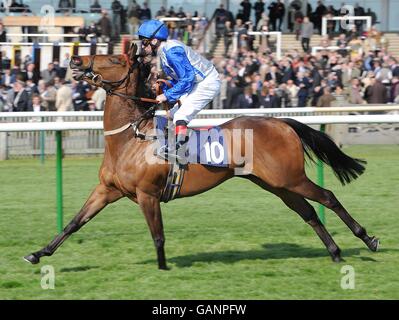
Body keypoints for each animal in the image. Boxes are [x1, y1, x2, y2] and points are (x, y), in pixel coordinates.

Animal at [23, 43, 380, 268]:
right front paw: (38, 253)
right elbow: (74, 223)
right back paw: (335, 252)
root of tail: (280, 121)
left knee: (328, 197)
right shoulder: (107, 190)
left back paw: (367, 239)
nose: (75, 60)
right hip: (277, 184)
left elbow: (158, 235)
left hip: (290, 177)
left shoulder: (147, 194)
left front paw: (163, 267)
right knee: (308, 212)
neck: (129, 138)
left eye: (113, 59)